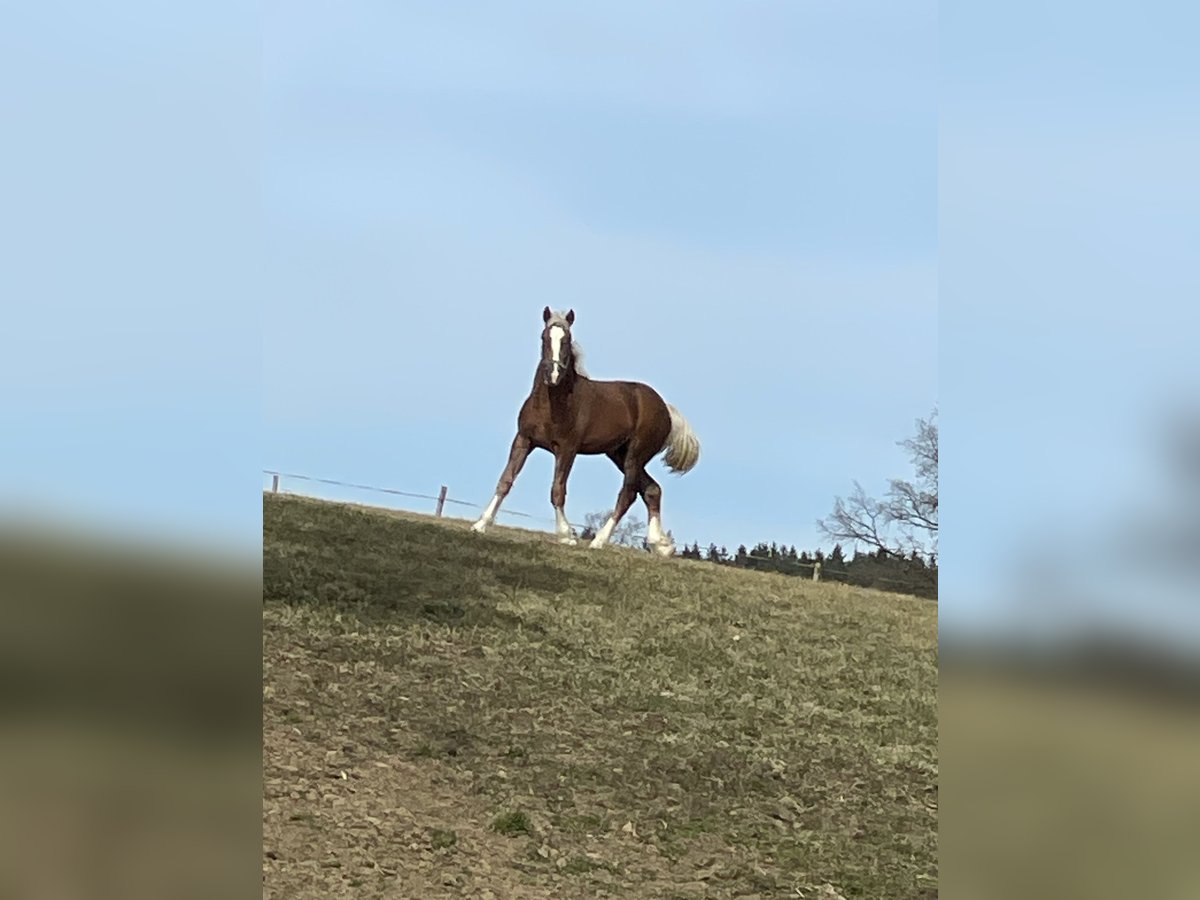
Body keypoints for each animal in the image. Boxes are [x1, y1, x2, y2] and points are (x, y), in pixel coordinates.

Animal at [465, 309, 700, 556]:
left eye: (566, 340)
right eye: (544, 337)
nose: (553, 374)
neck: (551, 405)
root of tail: (666, 409)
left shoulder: (567, 449)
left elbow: (557, 490)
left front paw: (566, 536)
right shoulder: (523, 440)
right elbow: (505, 480)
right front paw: (480, 525)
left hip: (635, 455)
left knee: (628, 494)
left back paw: (600, 540)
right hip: (619, 454)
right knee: (652, 490)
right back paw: (661, 546)